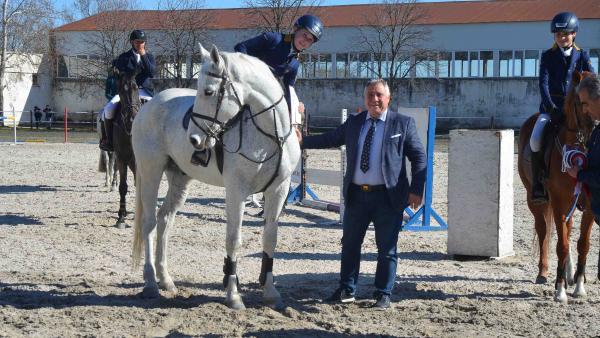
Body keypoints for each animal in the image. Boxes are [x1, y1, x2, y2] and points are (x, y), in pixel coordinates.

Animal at [131, 43, 300, 308]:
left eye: (209, 92)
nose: (193, 140)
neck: (272, 135)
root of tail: (149, 104)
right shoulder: (237, 191)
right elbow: (233, 240)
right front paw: (233, 295)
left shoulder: (278, 190)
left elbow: (270, 239)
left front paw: (271, 293)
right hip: (150, 172)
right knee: (148, 222)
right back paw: (150, 283)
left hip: (179, 178)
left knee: (165, 218)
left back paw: (165, 279)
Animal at [516, 70, 596, 302]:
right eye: (580, 101)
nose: (596, 126)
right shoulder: (559, 201)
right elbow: (562, 245)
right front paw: (560, 290)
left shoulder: (589, 205)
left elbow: (582, 244)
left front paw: (579, 286)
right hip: (534, 198)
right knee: (543, 230)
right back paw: (543, 273)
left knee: (567, 230)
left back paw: (572, 275)